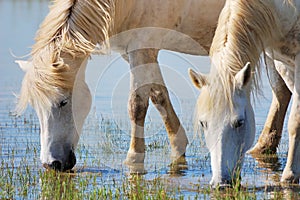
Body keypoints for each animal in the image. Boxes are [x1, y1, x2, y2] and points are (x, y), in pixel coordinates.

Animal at [15, 0, 288, 178]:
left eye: (63, 102)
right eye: (36, 107)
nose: (52, 163)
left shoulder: (141, 47)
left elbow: (137, 105)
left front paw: (133, 159)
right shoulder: (136, 52)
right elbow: (158, 96)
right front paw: (178, 147)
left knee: (282, 90)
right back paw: (263, 148)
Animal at [190, 0, 300, 188]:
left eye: (240, 122)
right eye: (203, 123)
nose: (221, 183)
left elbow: (295, 121)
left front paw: (290, 176)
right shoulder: (281, 61)